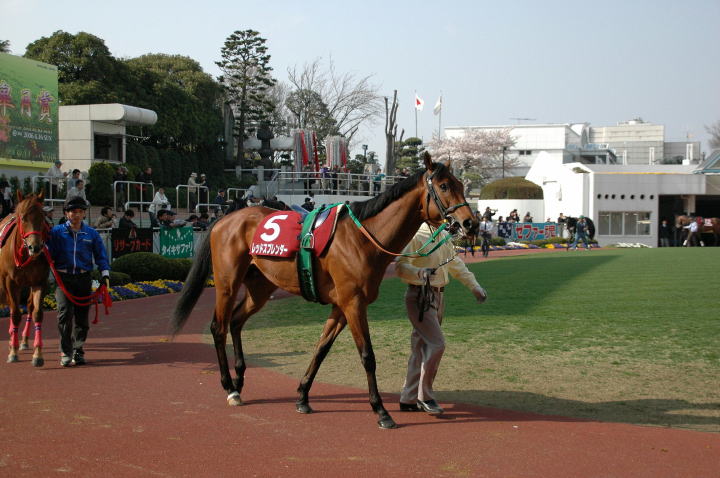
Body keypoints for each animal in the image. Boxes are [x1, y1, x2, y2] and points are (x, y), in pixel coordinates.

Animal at [0, 192, 50, 366]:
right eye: (22, 218)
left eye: (42, 217)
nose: (35, 247)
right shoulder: (10, 282)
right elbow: (15, 314)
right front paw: (12, 352)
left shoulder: (40, 281)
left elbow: (37, 313)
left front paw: (38, 354)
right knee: (11, 307)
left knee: (28, 306)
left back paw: (24, 340)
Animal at [171, 153, 478, 429]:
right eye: (444, 186)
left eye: (461, 185)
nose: (470, 223)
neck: (362, 238)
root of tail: (224, 220)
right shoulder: (354, 303)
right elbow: (367, 356)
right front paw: (380, 411)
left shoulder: (340, 306)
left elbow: (321, 348)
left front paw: (302, 397)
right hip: (227, 283)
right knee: (219, 327)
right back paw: (229, 387)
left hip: (260, 287)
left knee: (235, 321)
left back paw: (240, 380)